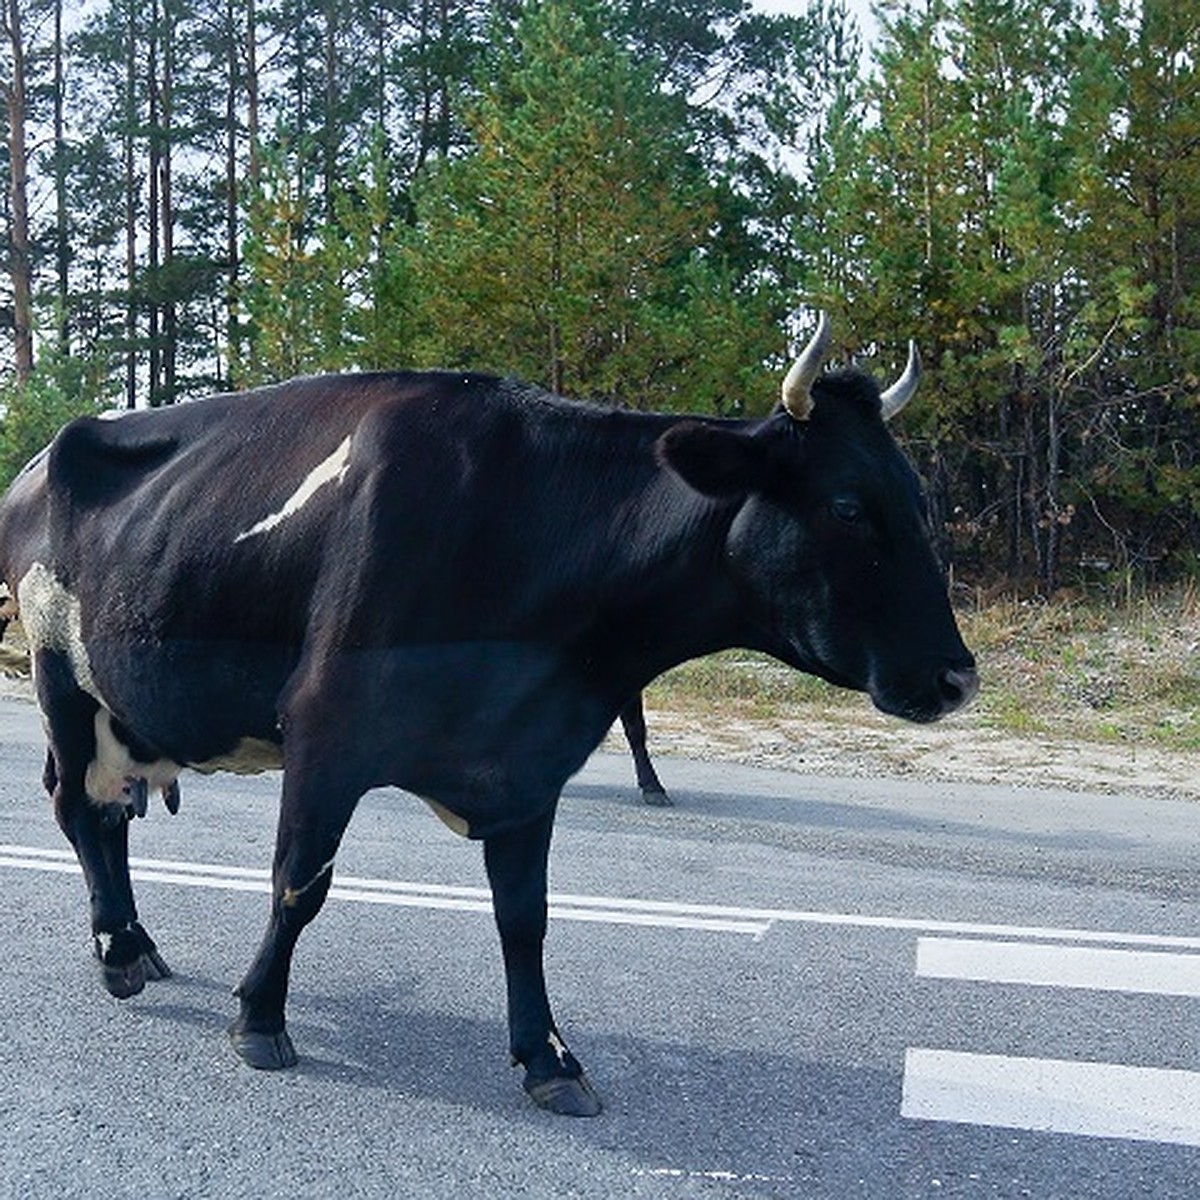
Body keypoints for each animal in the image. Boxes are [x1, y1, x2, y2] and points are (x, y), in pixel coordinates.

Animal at [0, 316, 974, 1113]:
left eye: (920, 500)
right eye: (847, 504)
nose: (957, 676)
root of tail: (41, 459)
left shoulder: (527, 762)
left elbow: (525, 918)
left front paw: (549, 1059)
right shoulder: (325, 732)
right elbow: (299, 883)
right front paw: (260, 1020)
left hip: (127, 707)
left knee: (108, 812)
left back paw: (136, 943)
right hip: (59, 676)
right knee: (77, 805)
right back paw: (118, 952)